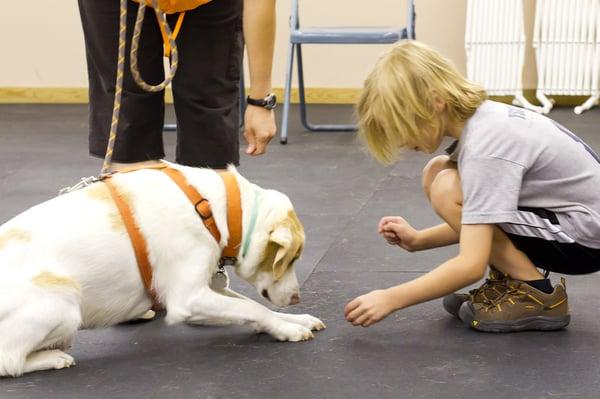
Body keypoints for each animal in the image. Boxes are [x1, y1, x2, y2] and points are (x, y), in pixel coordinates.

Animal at [0, 163, 326, 378]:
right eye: (292, 259)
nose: (296, 298)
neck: (214, 210)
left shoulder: (205, 293)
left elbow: (253, 308)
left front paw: (295, 319)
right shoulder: (188, 299)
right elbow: (255, 309)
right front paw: (287, 329)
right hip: (64, 304)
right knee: (9, 361)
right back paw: (54, 358)